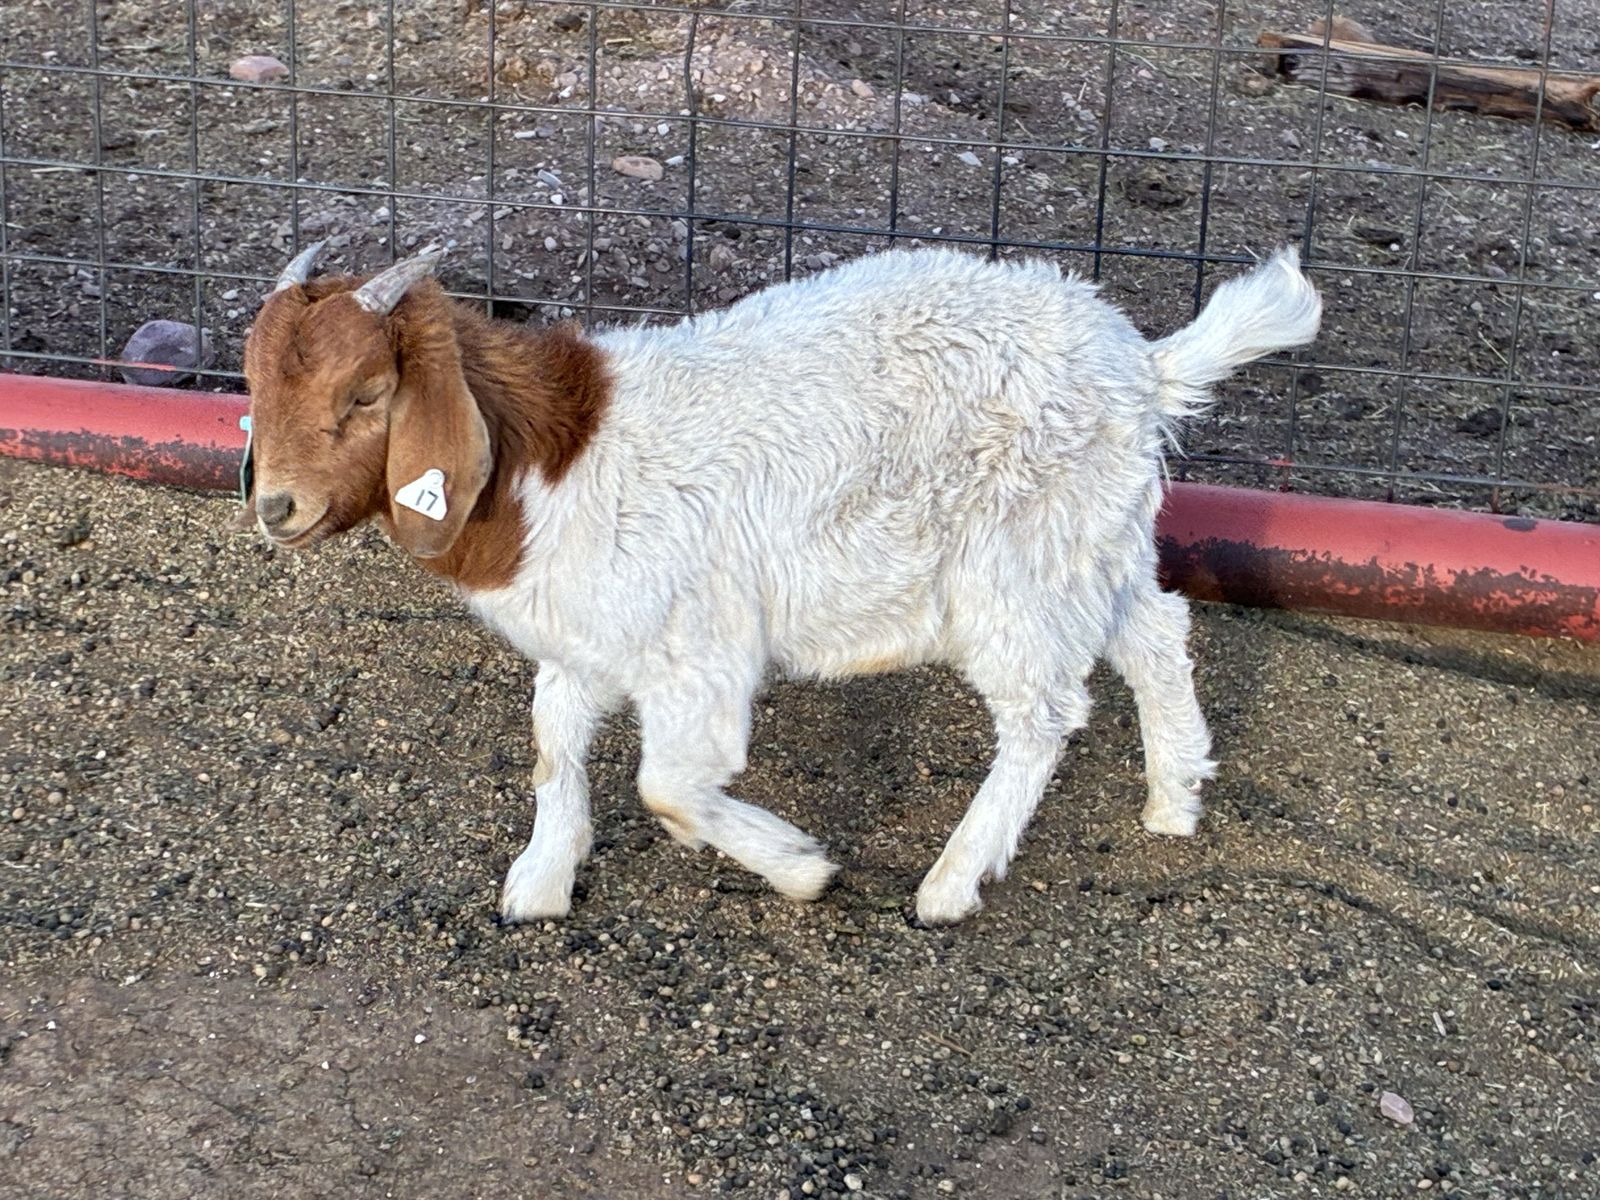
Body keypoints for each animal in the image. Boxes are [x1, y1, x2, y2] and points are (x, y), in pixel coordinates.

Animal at [241, 243, 1321, 925]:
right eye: (254, 384)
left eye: (368, 393)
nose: (276, 507)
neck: (547, 461)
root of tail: (1143, 365)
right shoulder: (585, 637)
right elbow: (554, 744)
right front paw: (542, 878)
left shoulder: (696, 648)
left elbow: (670, 787)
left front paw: (800, 869)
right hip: (1092, 536)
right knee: (1156, 631)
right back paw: (1174, 795)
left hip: (1012, 570)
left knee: (1044, 711)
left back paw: (950, 884)